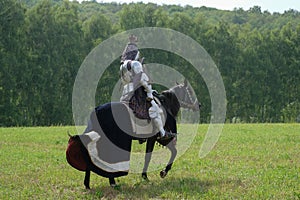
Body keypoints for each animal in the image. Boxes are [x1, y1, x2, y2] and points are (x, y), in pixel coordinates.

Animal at [67, 79, 200, 188]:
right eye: (190, 91)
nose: (198, 105)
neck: (166, 104)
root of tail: (97, 110)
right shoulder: (157, 138)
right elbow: (153, 156)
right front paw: (152, 175)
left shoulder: (158, 139)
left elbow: (172, 152)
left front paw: (158, 173)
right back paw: (110, 182)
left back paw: (90, 184)